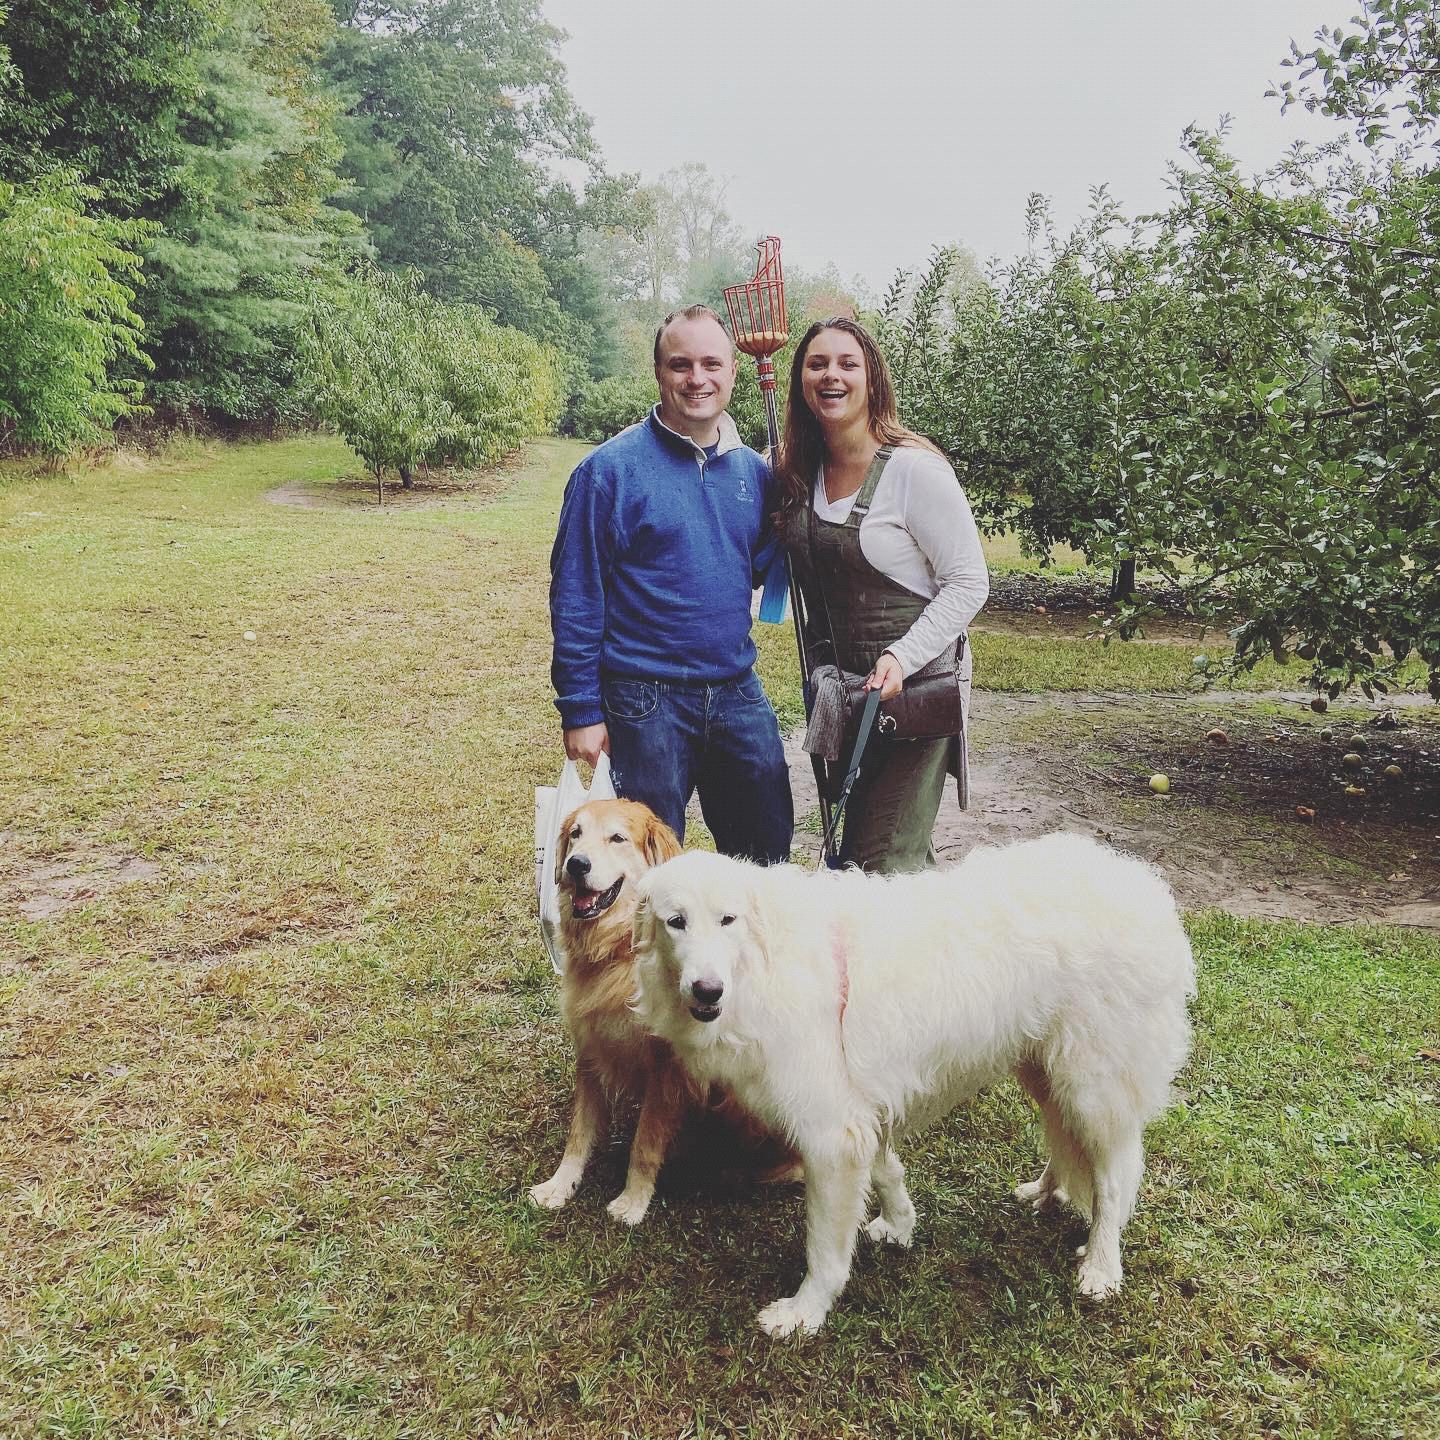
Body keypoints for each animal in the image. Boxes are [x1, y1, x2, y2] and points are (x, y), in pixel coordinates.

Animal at [630, 835, 1192, 1336]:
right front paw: (900, 1225)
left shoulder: (831, 1138)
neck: (765, 963)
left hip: (1093, 1088)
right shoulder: (859, 1115)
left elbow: (824, 1248)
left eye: (728, 920)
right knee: (1066, 1141)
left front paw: (805, 1313)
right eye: (675, 922)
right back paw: (1045, 1191)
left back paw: (1101, 1265)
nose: (707, 990)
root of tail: (1147, 892)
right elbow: (887, 1171)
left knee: (1113, 1177)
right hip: (1044, 1069)